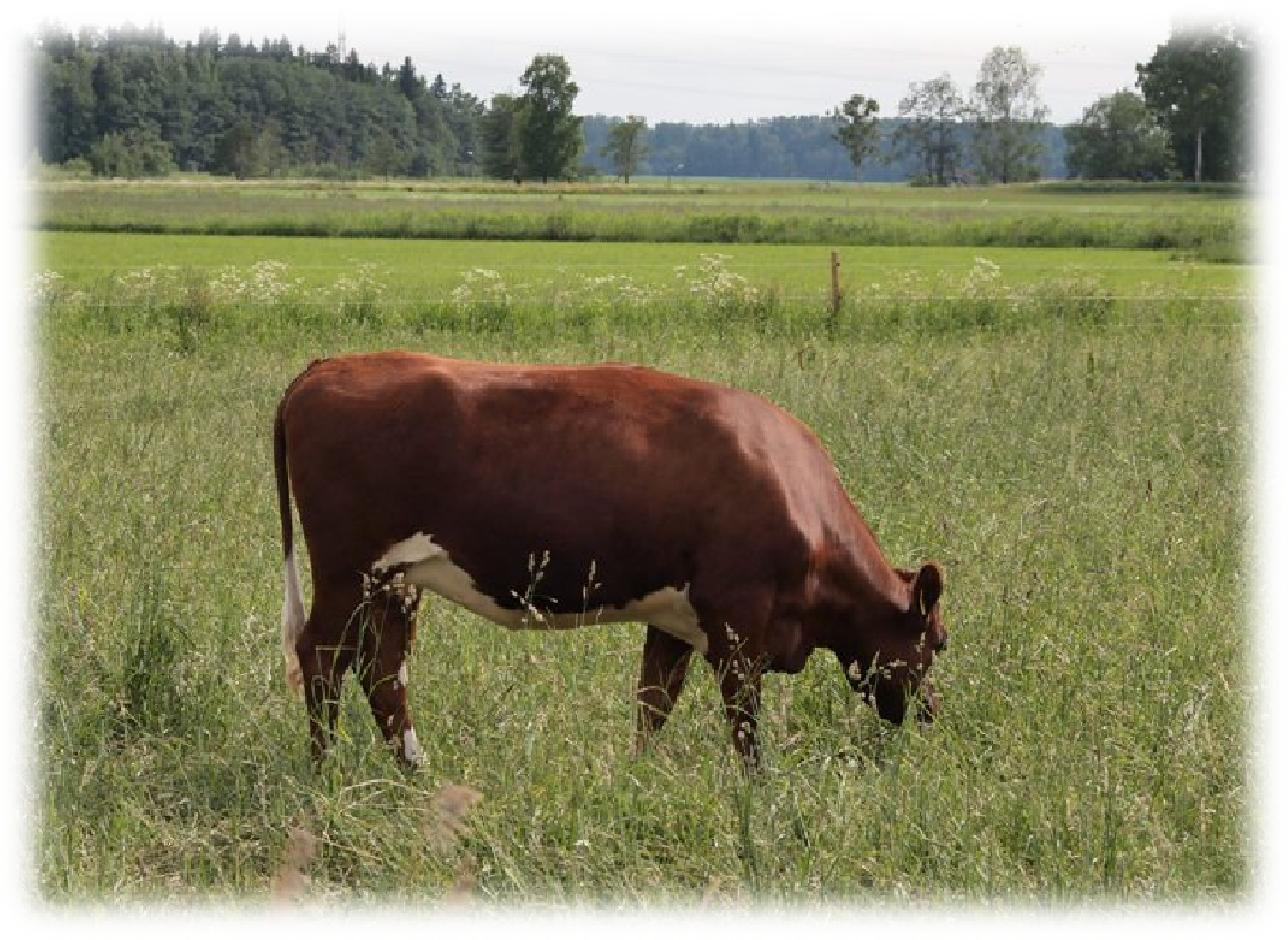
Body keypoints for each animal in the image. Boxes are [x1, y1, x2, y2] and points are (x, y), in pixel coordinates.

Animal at [274, 347, 947, 767]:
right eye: (938, 643)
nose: (931, 718)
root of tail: (328, 365)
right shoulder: (737, 622)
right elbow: (743, 723)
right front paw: (755, 792)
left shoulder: (677, 619)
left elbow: (653, 705)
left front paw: (637, 776)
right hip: (346, 570)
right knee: (324, 658)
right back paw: (325, 773)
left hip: (397, 580)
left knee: (383, 671)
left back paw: (416, 773)